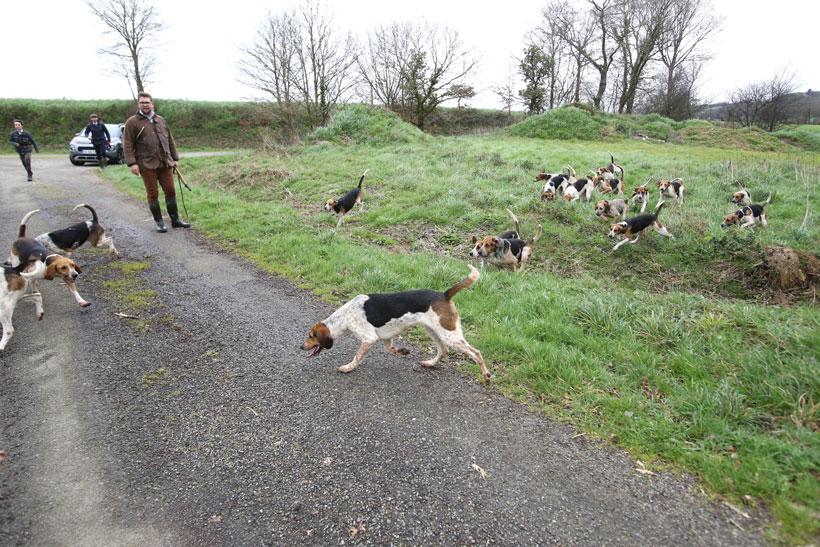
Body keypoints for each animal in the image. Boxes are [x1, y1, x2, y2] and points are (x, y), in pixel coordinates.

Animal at [302, 266, 490, 386]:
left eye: (311, 336)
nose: (300, 347)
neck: (345, 316)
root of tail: (445, 294)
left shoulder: (369, 339)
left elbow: (356, 358)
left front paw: (347, 368)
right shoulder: (386, 337)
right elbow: (389, 349)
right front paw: (402, 351)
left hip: (450, 335)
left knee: (476, 352)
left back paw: (486, 376)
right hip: (433, 331)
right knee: (443, 351)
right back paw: (430, 363)